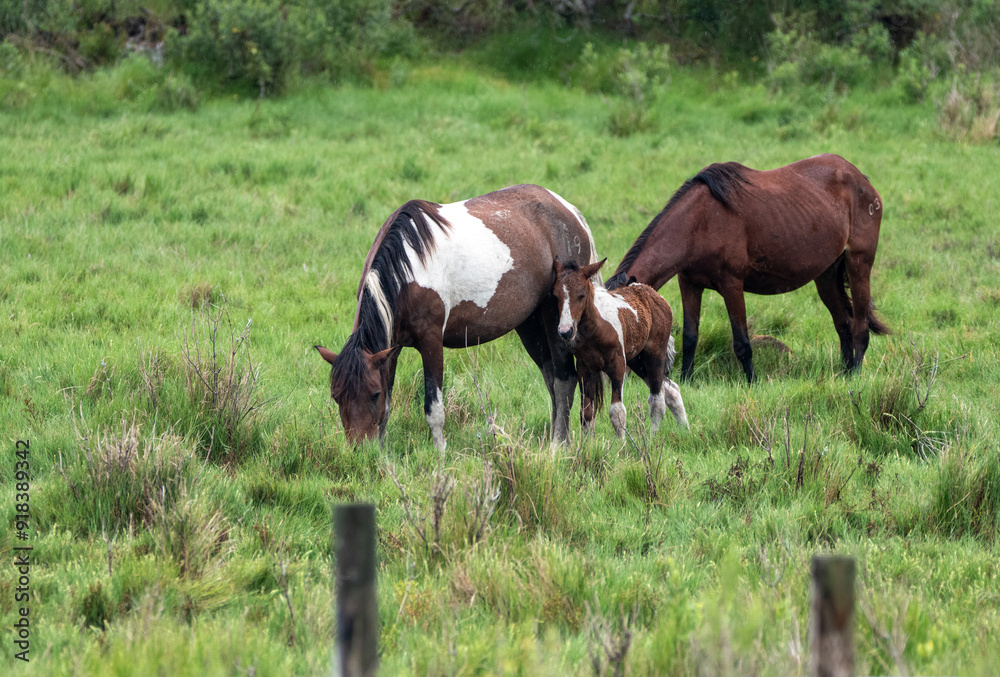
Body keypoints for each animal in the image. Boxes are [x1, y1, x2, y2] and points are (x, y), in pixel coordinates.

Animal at [314, 184, 600, 450]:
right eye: (336, 397)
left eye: (373, 394)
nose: (360, 450)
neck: (407, 269)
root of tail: (570, 211)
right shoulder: (390, 349)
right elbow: (386, 410)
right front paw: (383, 457)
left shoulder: (431, 342)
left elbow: (433, 410)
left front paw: (440, 457)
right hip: (530, 325)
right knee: (553, 381)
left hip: (556, 322)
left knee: (565, 381)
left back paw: (557, 448)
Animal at [553, 258, 688, 439]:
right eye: (556, 296)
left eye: (581, 295)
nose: (565, 331)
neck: (596, 329)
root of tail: (652, 292)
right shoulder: (584, 368)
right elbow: (586, 412)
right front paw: (588, 444)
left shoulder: (617, 364)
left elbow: (617, 412)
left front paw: (621, 444)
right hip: (637, 361)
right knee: (671, 389)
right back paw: (685, 430)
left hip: (654, 354)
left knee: (657, 399)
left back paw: (652, 437)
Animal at [605, 154, 889, 383]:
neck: (699, 223)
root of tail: (859, 178)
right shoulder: (689, 284)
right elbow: (690, 337)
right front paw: (686, 381)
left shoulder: (732, 285)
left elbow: (742, 342)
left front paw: (752, 382)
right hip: (826, 276)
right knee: (843, 325)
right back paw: (844, 374)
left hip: (859, 264)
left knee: (859, 327)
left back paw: (854, 376)